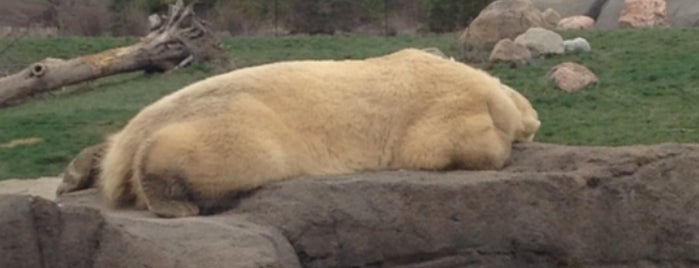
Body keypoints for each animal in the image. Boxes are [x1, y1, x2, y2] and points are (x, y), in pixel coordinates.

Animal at [97, 48, 540, 218]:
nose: (535, 123)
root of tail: (134, 132)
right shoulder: (443, 104)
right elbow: (445, 146)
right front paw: (504, 145)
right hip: (243, 122)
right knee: (238, 154)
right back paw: (174, 201)